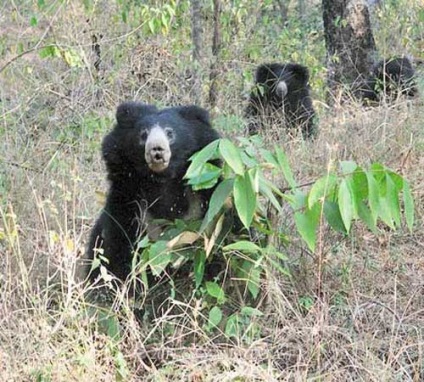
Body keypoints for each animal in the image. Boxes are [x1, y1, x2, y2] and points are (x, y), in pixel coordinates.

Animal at [85, 101, 220, 284]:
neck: (161, 181)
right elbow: (116, 251)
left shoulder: (202, 207)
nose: (157, 149)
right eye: (143, 135)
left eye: (170, 133)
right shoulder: (127, 206)